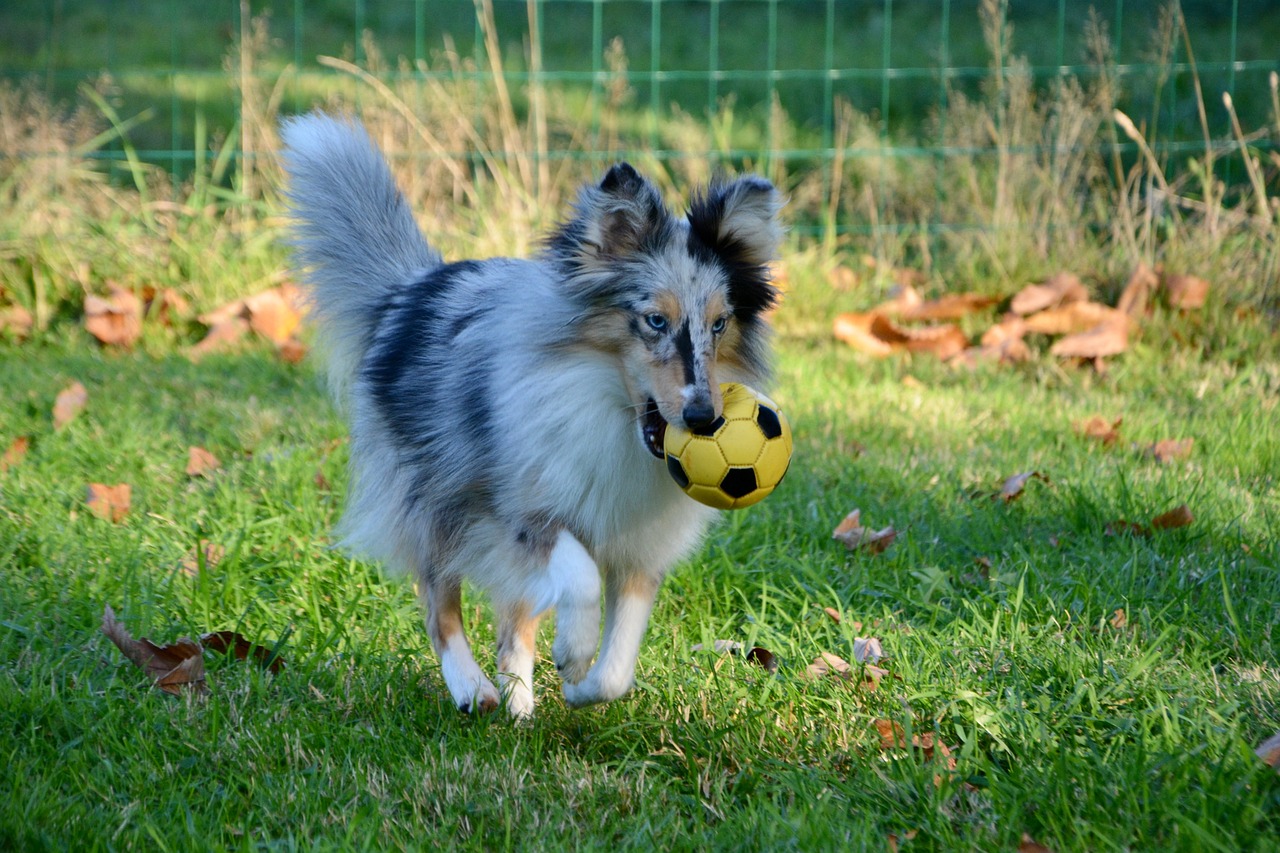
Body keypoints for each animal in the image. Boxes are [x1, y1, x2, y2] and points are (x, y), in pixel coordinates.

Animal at [280, 109, 778, 712]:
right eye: (655, 321)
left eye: (720, 324)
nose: (705, 419)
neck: (608, 411)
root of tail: (411, 290)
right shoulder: (517, 511)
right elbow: (579, 576)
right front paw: (574, 651)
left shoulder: (640, 548)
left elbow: (617, 665)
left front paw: (582, 683)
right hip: (435, 501)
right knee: (439, 600)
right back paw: (472, 689)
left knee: (512, 622)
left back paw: (519, 707)